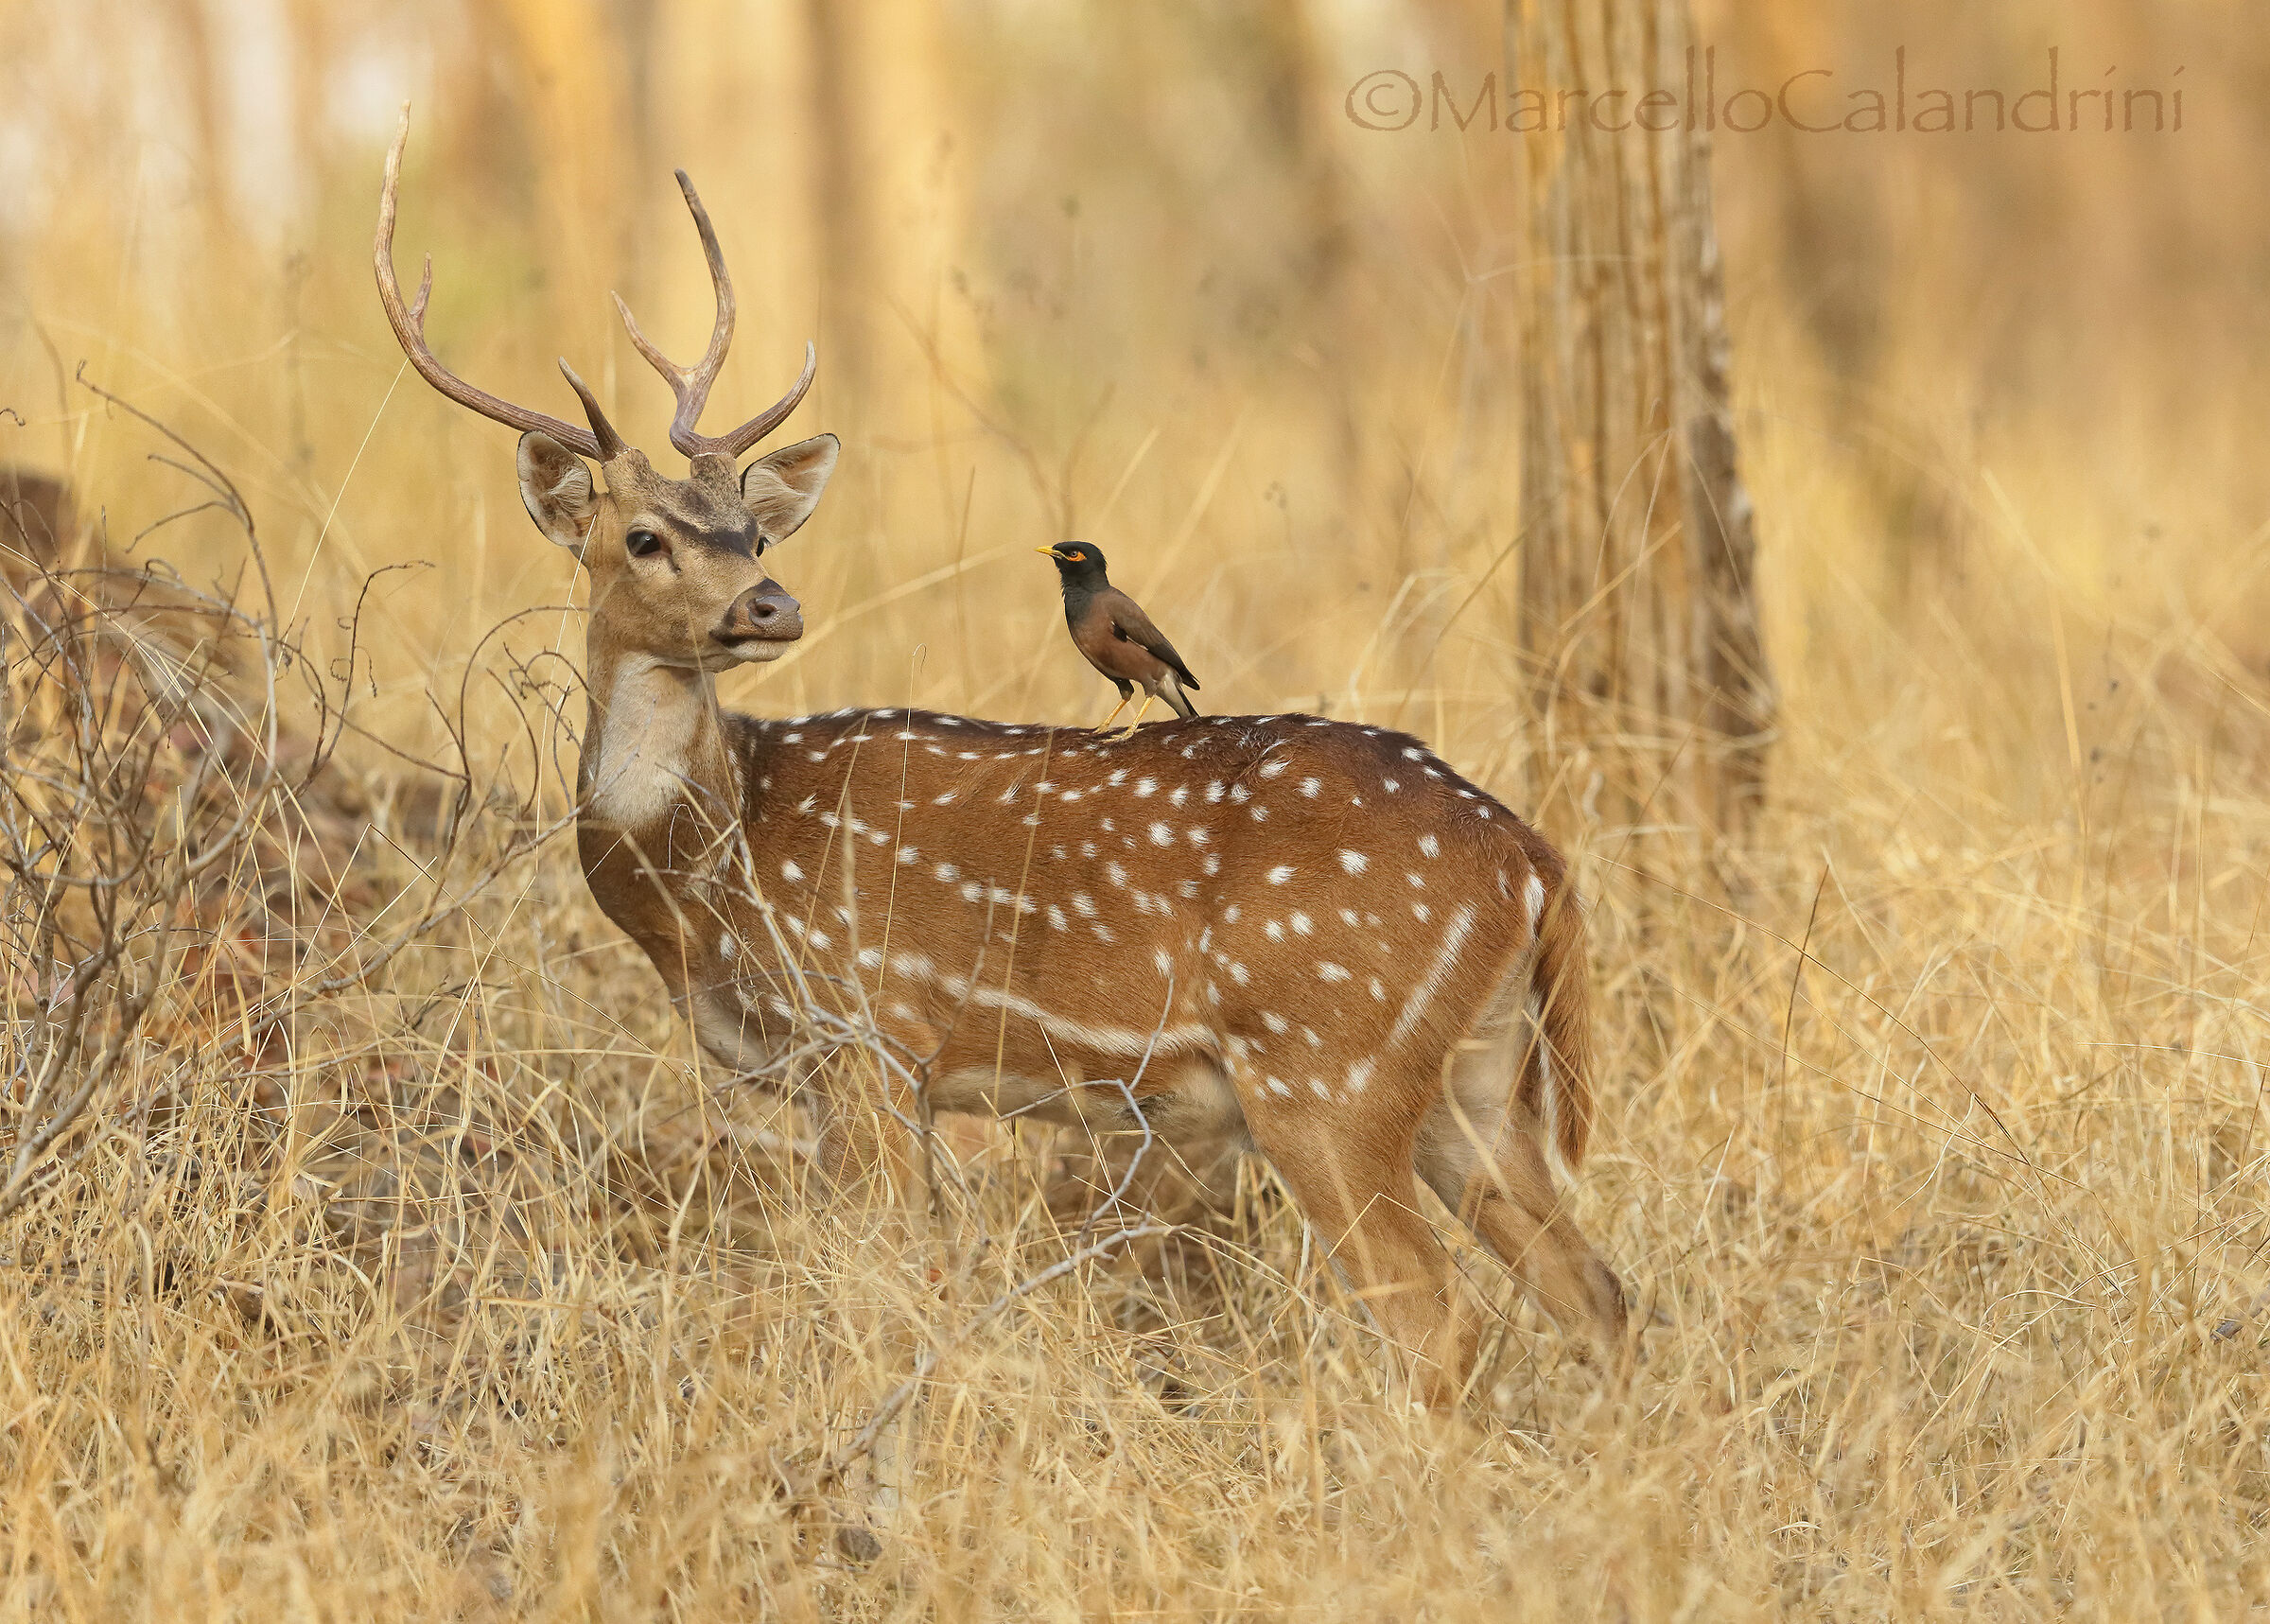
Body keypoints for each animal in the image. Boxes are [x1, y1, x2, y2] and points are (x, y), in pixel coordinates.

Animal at [374, 114, 1628, 1408]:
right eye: (643, 537)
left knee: (1438, 1317)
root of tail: (1532, 860)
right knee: (1598, 1289)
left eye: (754, 528)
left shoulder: (867, 1030)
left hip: (1326, 1065)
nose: (771, 603)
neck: (705, 881)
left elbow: (889, 1287)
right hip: (1475, 1075)